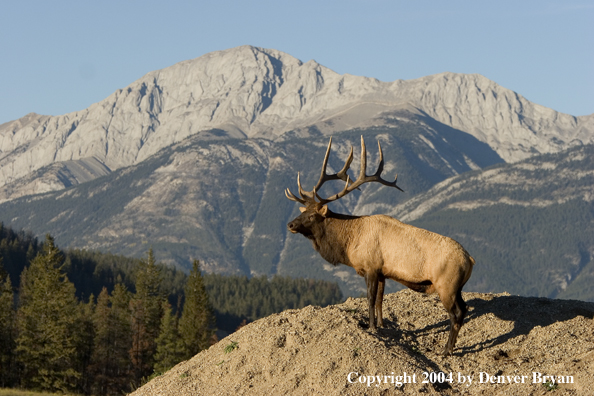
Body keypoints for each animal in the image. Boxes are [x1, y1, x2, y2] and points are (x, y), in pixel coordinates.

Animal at [284, 136, 474, 356]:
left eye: (312, 215)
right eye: (303, 211)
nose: (290, 225)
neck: (349, 243)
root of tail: (470, 260)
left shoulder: (371, 267)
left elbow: (370, 298)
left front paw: (372, 326)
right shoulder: (383, 271)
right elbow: (380, 299)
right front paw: (382, 324)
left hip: (447, 285)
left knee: (456, 313)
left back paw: (447, 350)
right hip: (457, 287)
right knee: (464, 309)